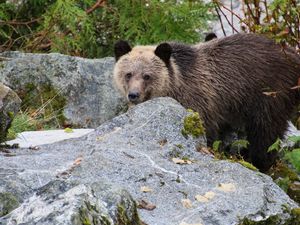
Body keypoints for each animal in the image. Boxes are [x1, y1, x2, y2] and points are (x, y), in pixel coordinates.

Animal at [112, 33, 300, 171]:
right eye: (128, 74)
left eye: (147, 76)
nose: (133, 95)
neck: (176, 86)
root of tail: (293, 54)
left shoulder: (200, 101)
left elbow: (207, 131)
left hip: (270, 92)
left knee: (266, 131)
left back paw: (257, 161)